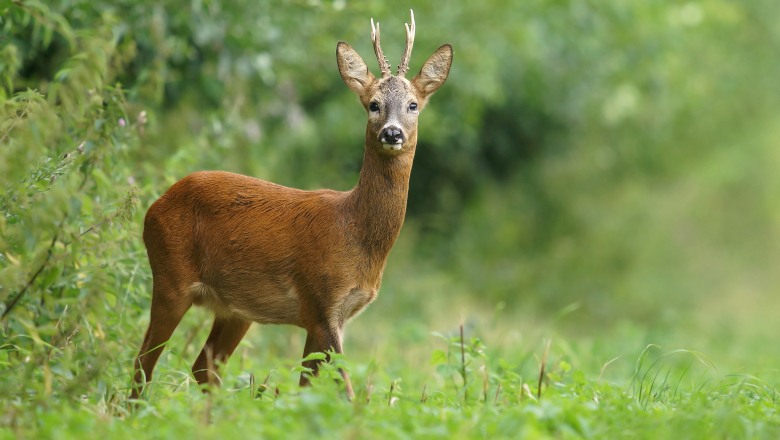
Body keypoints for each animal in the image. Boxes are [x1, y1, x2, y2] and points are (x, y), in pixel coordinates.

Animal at [132, 10, 454, 400]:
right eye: (373, 104)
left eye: (413, 105)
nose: (391, 133)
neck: (356, 232)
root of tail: (154, 206)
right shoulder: (319, 300)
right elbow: (344, 389)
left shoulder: (331, 316)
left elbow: (308, 387)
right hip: (170, 277)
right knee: (143, 364)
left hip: (235, 309)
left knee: (202, 367)